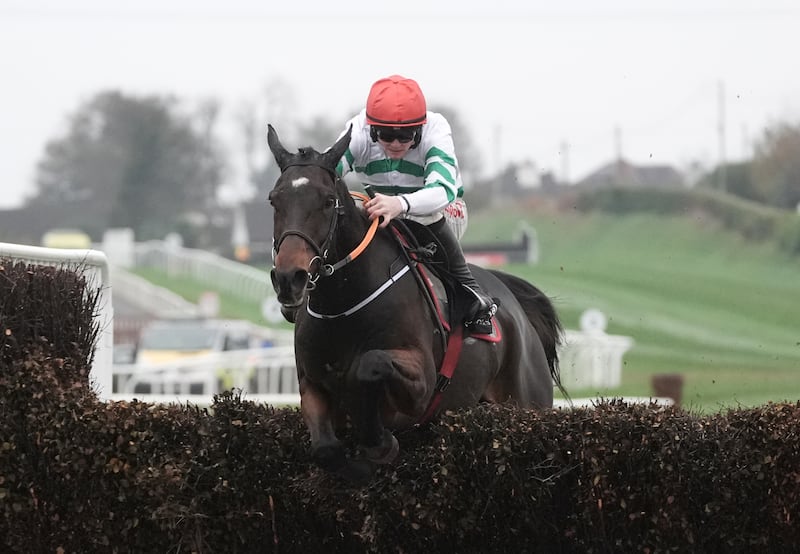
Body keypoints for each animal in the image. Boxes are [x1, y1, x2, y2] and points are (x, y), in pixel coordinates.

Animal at [266, 124, 564, 478]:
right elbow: (325, 449)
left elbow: (369, 365)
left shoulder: (421, 384)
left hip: (529, 402)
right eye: (273, 200)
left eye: (327, 201)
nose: (290, 278)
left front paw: (379, 444)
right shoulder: (311, 383)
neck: (342, 304)